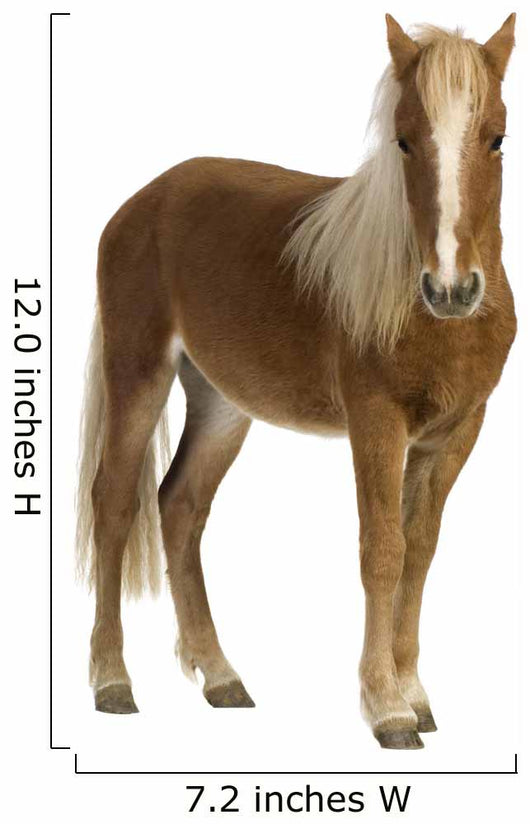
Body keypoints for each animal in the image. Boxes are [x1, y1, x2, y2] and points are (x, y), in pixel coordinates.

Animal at [76, 14, 517, 749]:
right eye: (403, 139)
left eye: (497, 137)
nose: (452, 289)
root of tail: (142, 201)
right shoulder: (375, 422)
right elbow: (383, 549)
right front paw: (387, 709)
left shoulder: (455, 434)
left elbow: (420, 551)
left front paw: (416, 695)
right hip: (138, 371)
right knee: (114, 503)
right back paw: (112, 682)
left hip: (222, 404)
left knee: (180, 505)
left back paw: (222, 678)